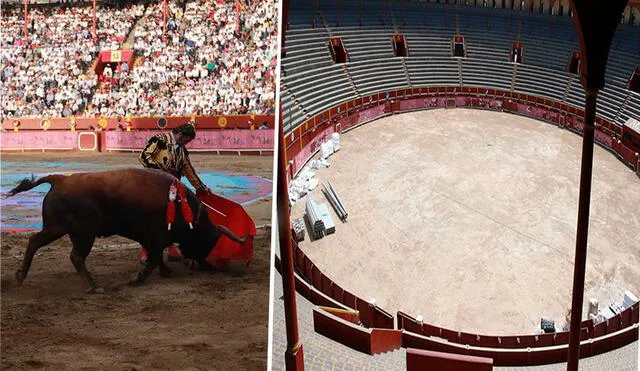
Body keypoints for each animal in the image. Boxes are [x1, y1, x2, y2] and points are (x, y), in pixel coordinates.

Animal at [6, 169, 246, 294]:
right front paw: (137, 279)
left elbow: (156, 257)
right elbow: (153, 258)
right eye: (208, 241)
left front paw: (165, 271)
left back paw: (20, 275)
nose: (208, 266)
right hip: (83, 234)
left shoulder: (151, 238)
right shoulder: (157, 236)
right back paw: (94, 286)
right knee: (76, 256)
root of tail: (60, 179)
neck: (180, 205)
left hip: (55, 228)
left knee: (34, 241)